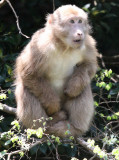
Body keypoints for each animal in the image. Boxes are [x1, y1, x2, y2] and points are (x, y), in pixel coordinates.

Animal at [14, 5, 98, 138]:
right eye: (72, 21)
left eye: (80, 21)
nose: (80, 32)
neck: (64, 46)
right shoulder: (40, 45)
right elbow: (28, 72)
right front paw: (53, 105)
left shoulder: (88, 43)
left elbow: (89, 65)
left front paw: (74, 87)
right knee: (25, 87)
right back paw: (46, 126)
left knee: (83, 88)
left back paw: (73, 128)